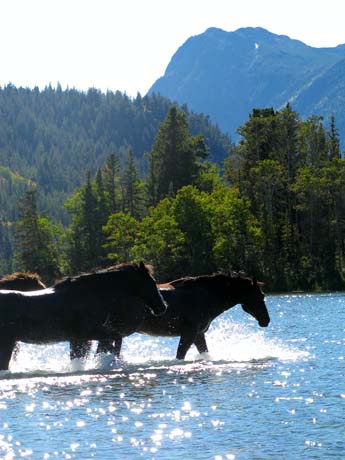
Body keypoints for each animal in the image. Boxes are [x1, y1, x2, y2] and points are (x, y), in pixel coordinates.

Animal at [72, 272, 270, 362]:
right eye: (260, 296)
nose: (266, 320)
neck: (207, 297)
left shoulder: (199, 334)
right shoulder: (189, 333)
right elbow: (180, 355)